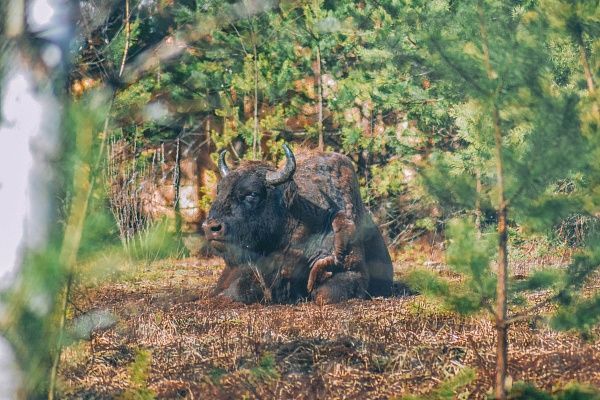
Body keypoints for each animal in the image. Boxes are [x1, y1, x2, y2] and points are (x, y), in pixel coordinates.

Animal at [203, 145, 394, 304]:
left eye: (252, 194)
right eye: (219, 190)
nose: (211, 228)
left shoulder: (353, 271)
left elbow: (326, 294)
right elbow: (239, 289)